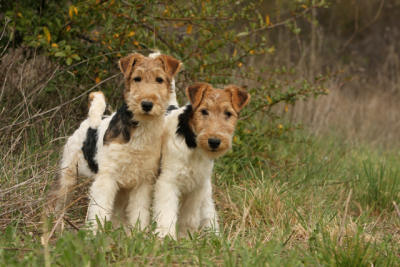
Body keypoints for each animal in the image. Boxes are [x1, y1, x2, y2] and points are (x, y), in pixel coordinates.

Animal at [47, 52, 183, 232]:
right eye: (137, 78)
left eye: (159, 79)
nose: (146, 104)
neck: (140, 130)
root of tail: (88, 122)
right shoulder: (107, 179)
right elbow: (99, 211)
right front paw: (94, 233)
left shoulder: (143, 182)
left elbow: (139, 213)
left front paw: (139, 234)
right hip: (68, 175)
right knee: (59, 201)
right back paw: (55, 224)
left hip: (121, 191)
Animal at [153, 81, 250, 239]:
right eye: (204, 111)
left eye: (228, 113)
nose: (214, 141)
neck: (193, 145)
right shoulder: (168, 182)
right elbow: (167, 213)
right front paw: (166, 237)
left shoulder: (197, 186)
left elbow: (190, 217)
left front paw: (186, 238)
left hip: (206, 189)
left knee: (209, 212)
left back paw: (215, 236)